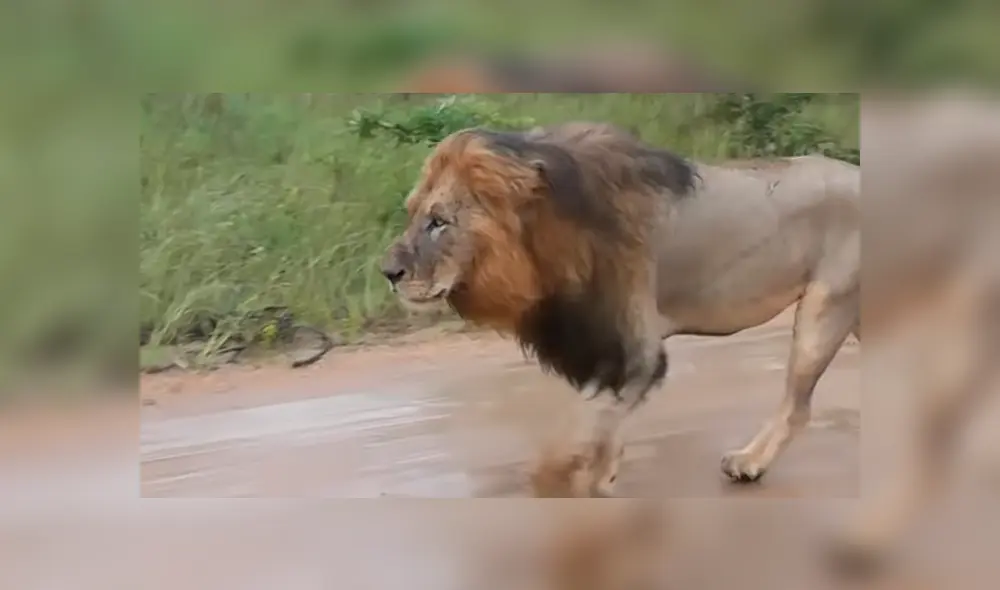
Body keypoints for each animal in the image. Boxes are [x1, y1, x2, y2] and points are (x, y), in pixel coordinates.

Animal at [379, 121, 860, 499]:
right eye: (412, 214)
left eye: (439, 221)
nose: (388, 271)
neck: (540, 245)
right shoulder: (595, 346)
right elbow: (586, 422)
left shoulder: (637, 350)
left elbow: (595, 425)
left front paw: (577, 480)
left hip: (824, 309)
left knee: (798, 407)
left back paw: (749, 462)